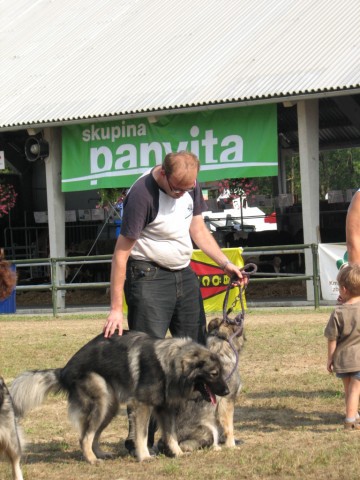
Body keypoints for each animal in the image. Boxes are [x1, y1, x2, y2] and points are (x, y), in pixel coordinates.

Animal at [159, 316, 243, 452]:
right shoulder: (228, 400)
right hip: (207, 429)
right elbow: (229, 427)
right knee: (188, 445)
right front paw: (232, 445)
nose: (239, 317)